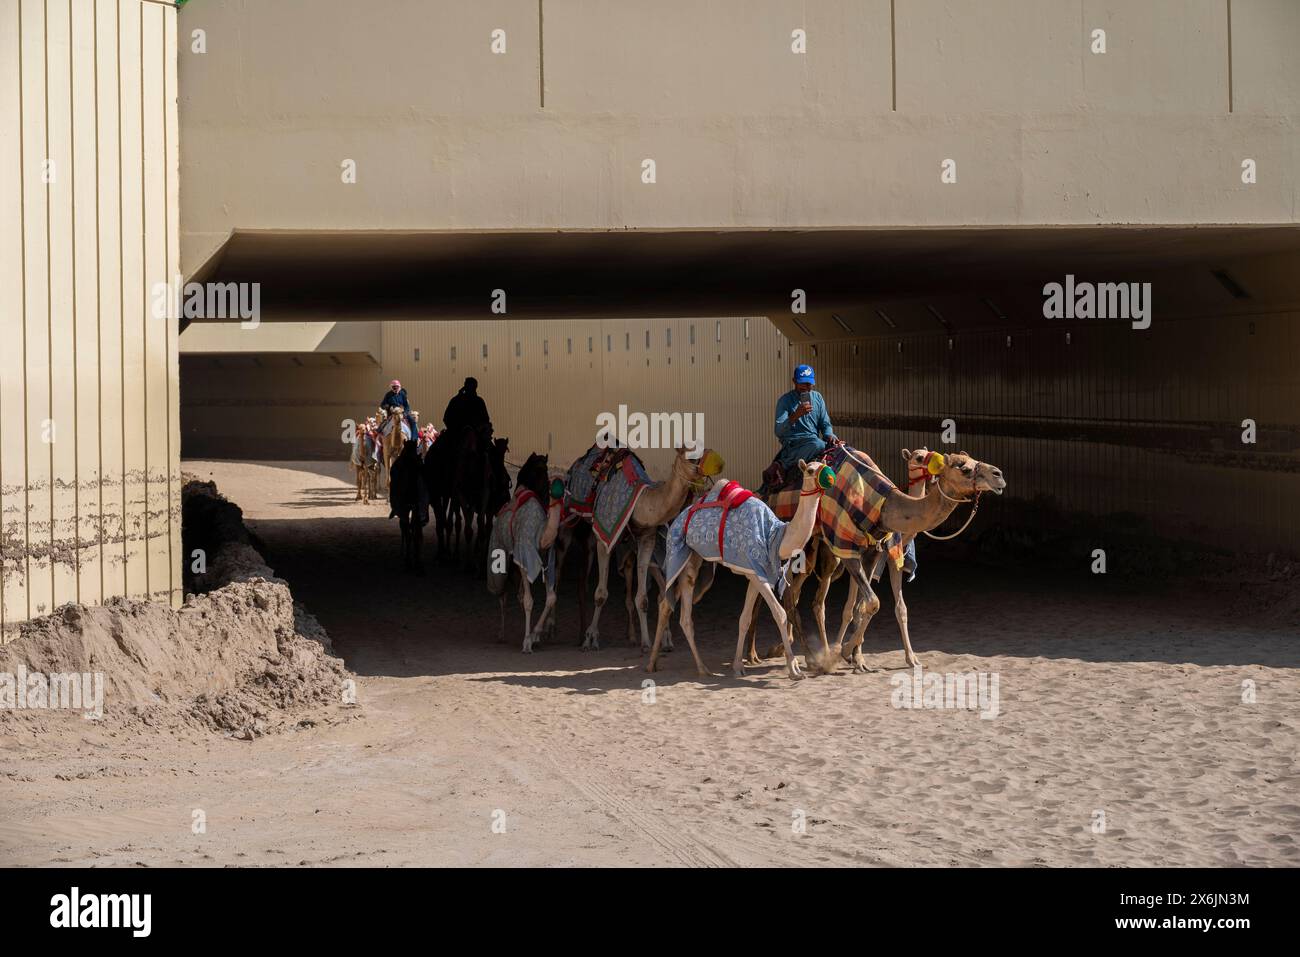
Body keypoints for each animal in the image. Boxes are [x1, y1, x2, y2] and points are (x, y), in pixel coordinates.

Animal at [577, 444, 728, 655]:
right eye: (691, 457)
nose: (719, 463)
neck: (639, 504)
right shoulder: (603, 537)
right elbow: (600, 594)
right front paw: (590, 639)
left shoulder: (648, 538)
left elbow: (643, 598)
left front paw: (647, 643)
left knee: (655, 587)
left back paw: (655, 639)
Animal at [650, 457, 832, 676]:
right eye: (811, 470)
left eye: (825, 465)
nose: (831, 477)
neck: (775, 537)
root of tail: (675, 520)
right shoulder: (755, 569)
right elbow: (779, 614)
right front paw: (794, 668)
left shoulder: (754, 573)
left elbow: (744, 619)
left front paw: (738, 666)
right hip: (680, 554)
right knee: (681, 612)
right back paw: (700, 667)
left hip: (694, 560)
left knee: (667, 604)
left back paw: (653, 663)